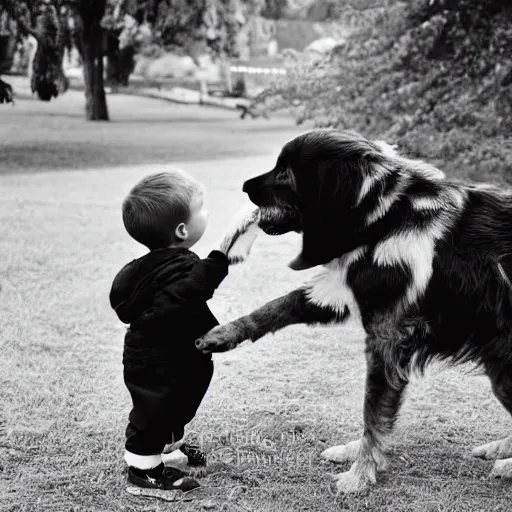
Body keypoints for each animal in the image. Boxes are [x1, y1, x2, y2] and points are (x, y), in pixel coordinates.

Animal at [196, 130, 512, 494]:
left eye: (285, 174)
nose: (244, 186)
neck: (386, 218)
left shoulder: (386, 340)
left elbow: (372, 414)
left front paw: (361, 473)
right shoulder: (338, 291)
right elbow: (273, 308)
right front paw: (222, 334)